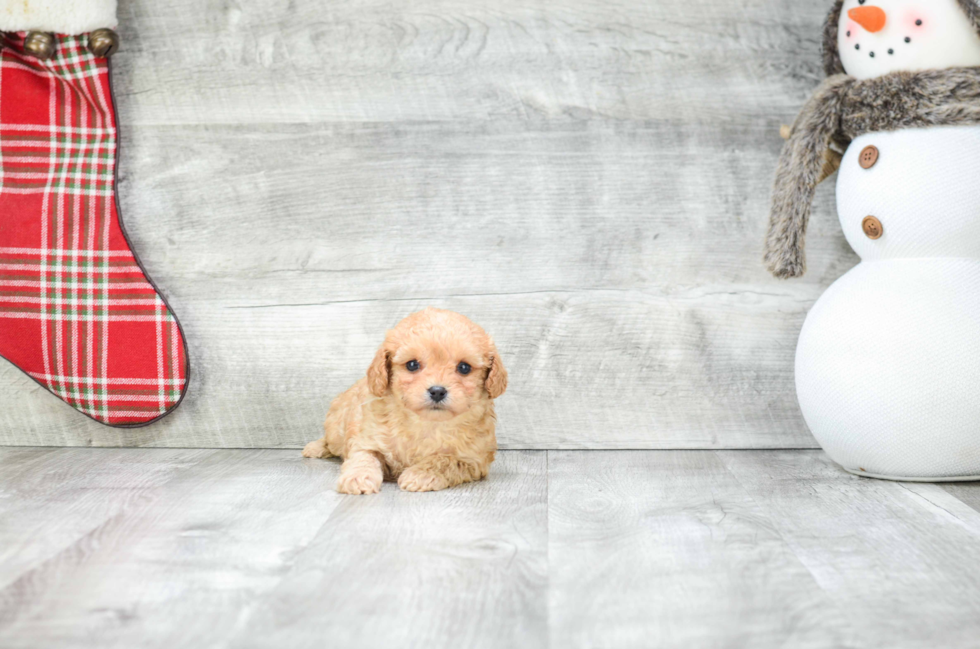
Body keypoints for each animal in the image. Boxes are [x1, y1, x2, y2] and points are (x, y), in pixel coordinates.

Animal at [302, 306, 510, 494]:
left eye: (464, 368)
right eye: (412, 365)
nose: (437, 391)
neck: (426, 423)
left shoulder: (473, 459)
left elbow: (444, 460)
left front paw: (420, 474)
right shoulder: (366, 438)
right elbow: (364, 457)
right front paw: (358, 478)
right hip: (336, 427)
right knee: (331, 441)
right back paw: (314, 447)